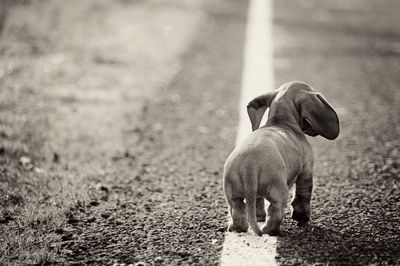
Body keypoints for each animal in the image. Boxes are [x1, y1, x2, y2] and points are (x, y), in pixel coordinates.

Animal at [223, 81, 340, 237]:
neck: (281, 122)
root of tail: (249, 165)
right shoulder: (306, 171)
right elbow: (303, 195)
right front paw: (301, 217)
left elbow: (258, 202)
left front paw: (259, 216)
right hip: (279, 192)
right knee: (275, 211)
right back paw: (272, 231)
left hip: (233, 194)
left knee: (238, 209)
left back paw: (236, 227)